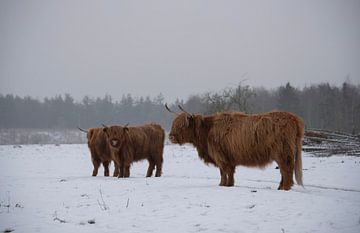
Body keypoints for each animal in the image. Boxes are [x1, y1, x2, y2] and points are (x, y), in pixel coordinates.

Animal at [167, 106, 304, 191]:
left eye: (182, 126)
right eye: (174, 124)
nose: (171, 136)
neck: (207, 130)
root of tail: (294, 118)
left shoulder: (220, 156)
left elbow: (223, 172)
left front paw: (222, 185)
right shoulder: (229, 158)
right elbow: (230, 172)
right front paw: (230, 185)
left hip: (282, 152)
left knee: (286, 169)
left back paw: (285, 188)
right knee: (284, 170)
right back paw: (281, 187)